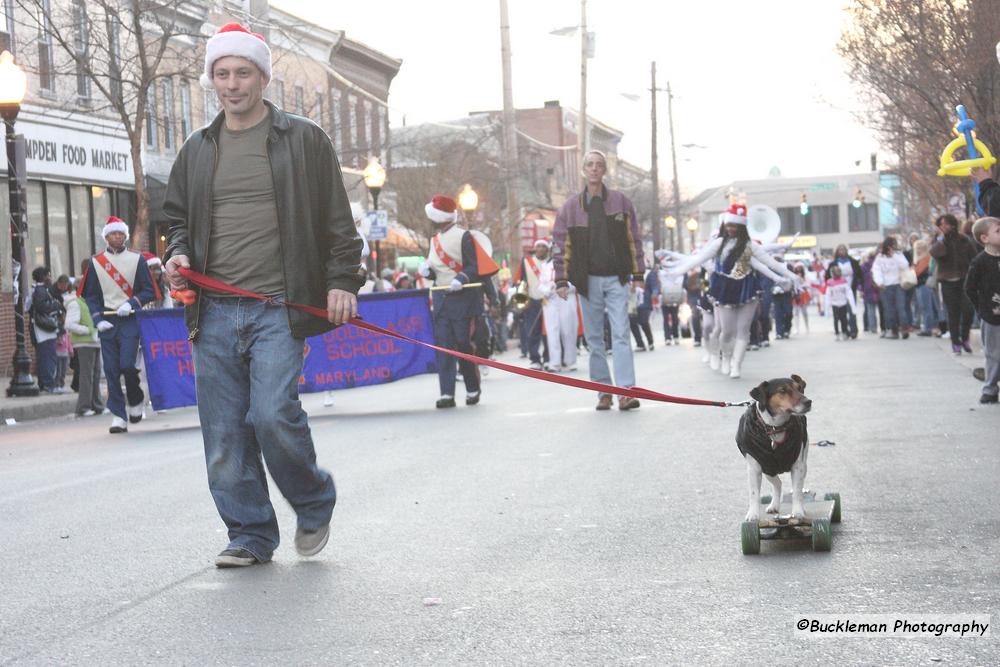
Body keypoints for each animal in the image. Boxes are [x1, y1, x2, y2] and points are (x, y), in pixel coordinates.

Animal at [736, 376, 812, 520]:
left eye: (799, 388)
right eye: (782, 390)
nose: (808, 402)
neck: (775, 428)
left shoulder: (797, 467)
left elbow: (797, 491)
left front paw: (798, 511)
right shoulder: (754, 468)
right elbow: (754, 494)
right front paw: (753, 514)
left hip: (803, 464)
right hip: (768, 470)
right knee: (778, 484)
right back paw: (774, 505)